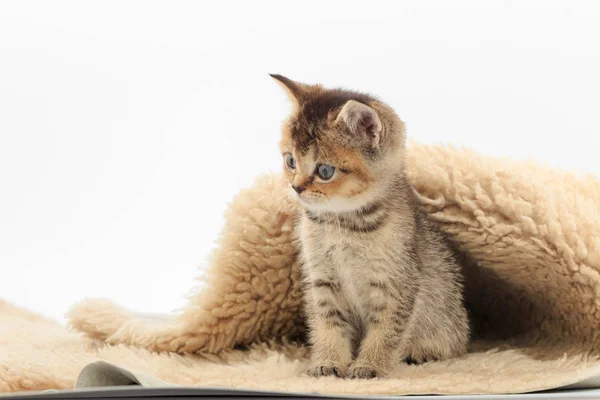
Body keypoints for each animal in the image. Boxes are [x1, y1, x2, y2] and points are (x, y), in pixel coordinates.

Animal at [270, 74, 468, 378]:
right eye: (290, 161)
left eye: (325, 171)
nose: (296, 187)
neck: (342, 225)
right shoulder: (322, 281)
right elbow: (328, 325)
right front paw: (327, 362)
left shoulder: (397, 283)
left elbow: (386, 331)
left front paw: (370, 365)